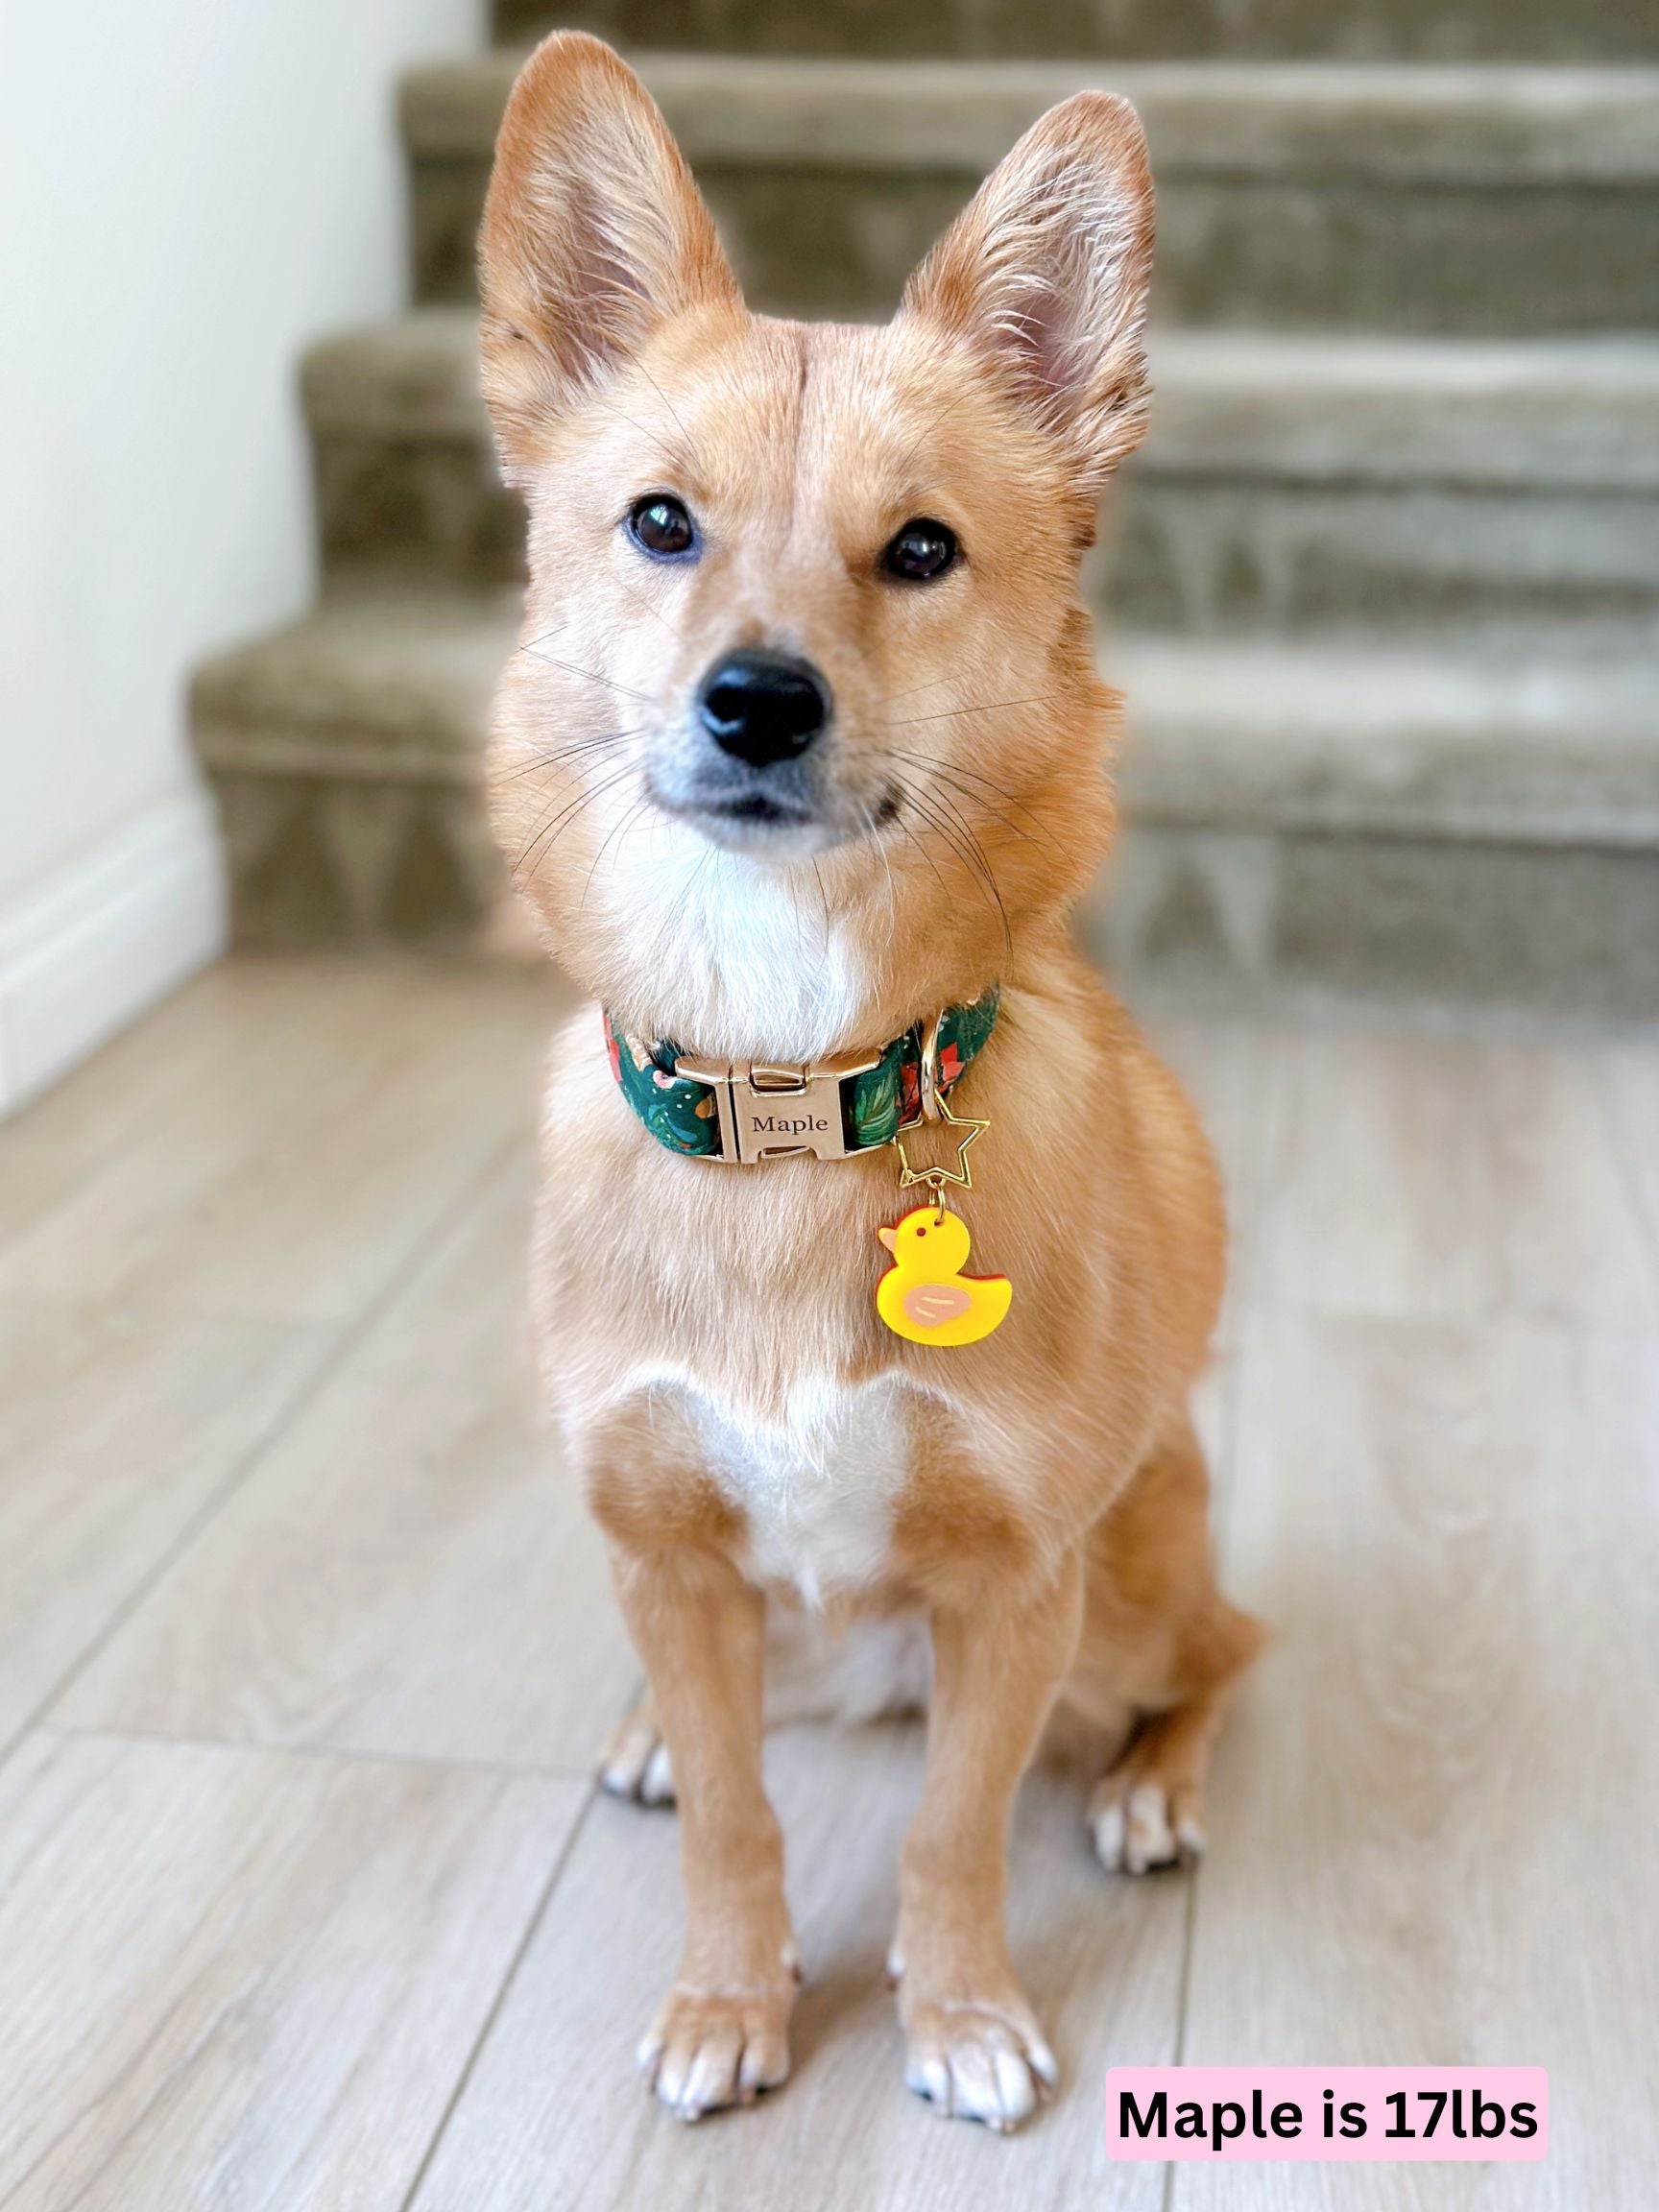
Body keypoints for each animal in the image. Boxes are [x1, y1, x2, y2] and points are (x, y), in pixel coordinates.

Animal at [479, 32, 1263, 2133]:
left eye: (919, 550)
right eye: (659, 522)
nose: (759, 701)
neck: (784, 1076)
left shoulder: (1011, 1591)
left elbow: (948, 1834)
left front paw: (961, 2006)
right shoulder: (667, 1554)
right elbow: (736, 1814)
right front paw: (730, 1992)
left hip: (1133, 1578)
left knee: (1226, 1644)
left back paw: (1151, 1784)